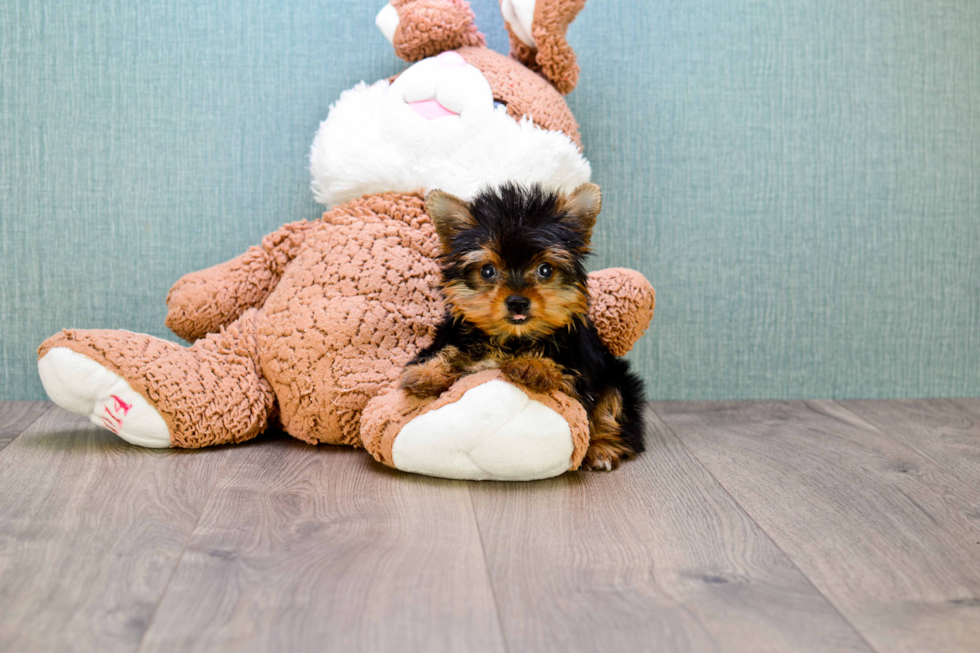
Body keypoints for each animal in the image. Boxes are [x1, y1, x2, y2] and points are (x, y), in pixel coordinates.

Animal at [402, 181, 648, 472]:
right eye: (487, 271)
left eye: (545, 270)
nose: (517, 301)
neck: (512, 338)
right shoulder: (454, 336)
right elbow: (445, 351)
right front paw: (426, 373)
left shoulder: (579, 373)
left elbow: (566, 376)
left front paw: (533, 366)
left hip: (616, 376)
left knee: (613, 406)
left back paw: (601, 449)